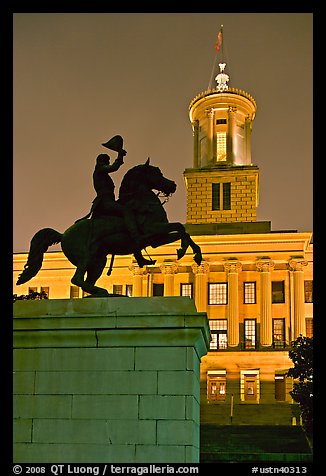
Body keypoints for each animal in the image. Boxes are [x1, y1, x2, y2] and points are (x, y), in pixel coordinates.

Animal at [17, 158, 202, 296]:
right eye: (157, 173)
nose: (172, 185)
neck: (143, 201)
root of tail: (63, 234)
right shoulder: (153, 231)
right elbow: (180, 228)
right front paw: (183, 250)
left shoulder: (157, 239)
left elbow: (183, 231)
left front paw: (195, 254)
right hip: (87, 256)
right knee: (77, 279)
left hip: (98, 260)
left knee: (85, 281)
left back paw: (102, 292)